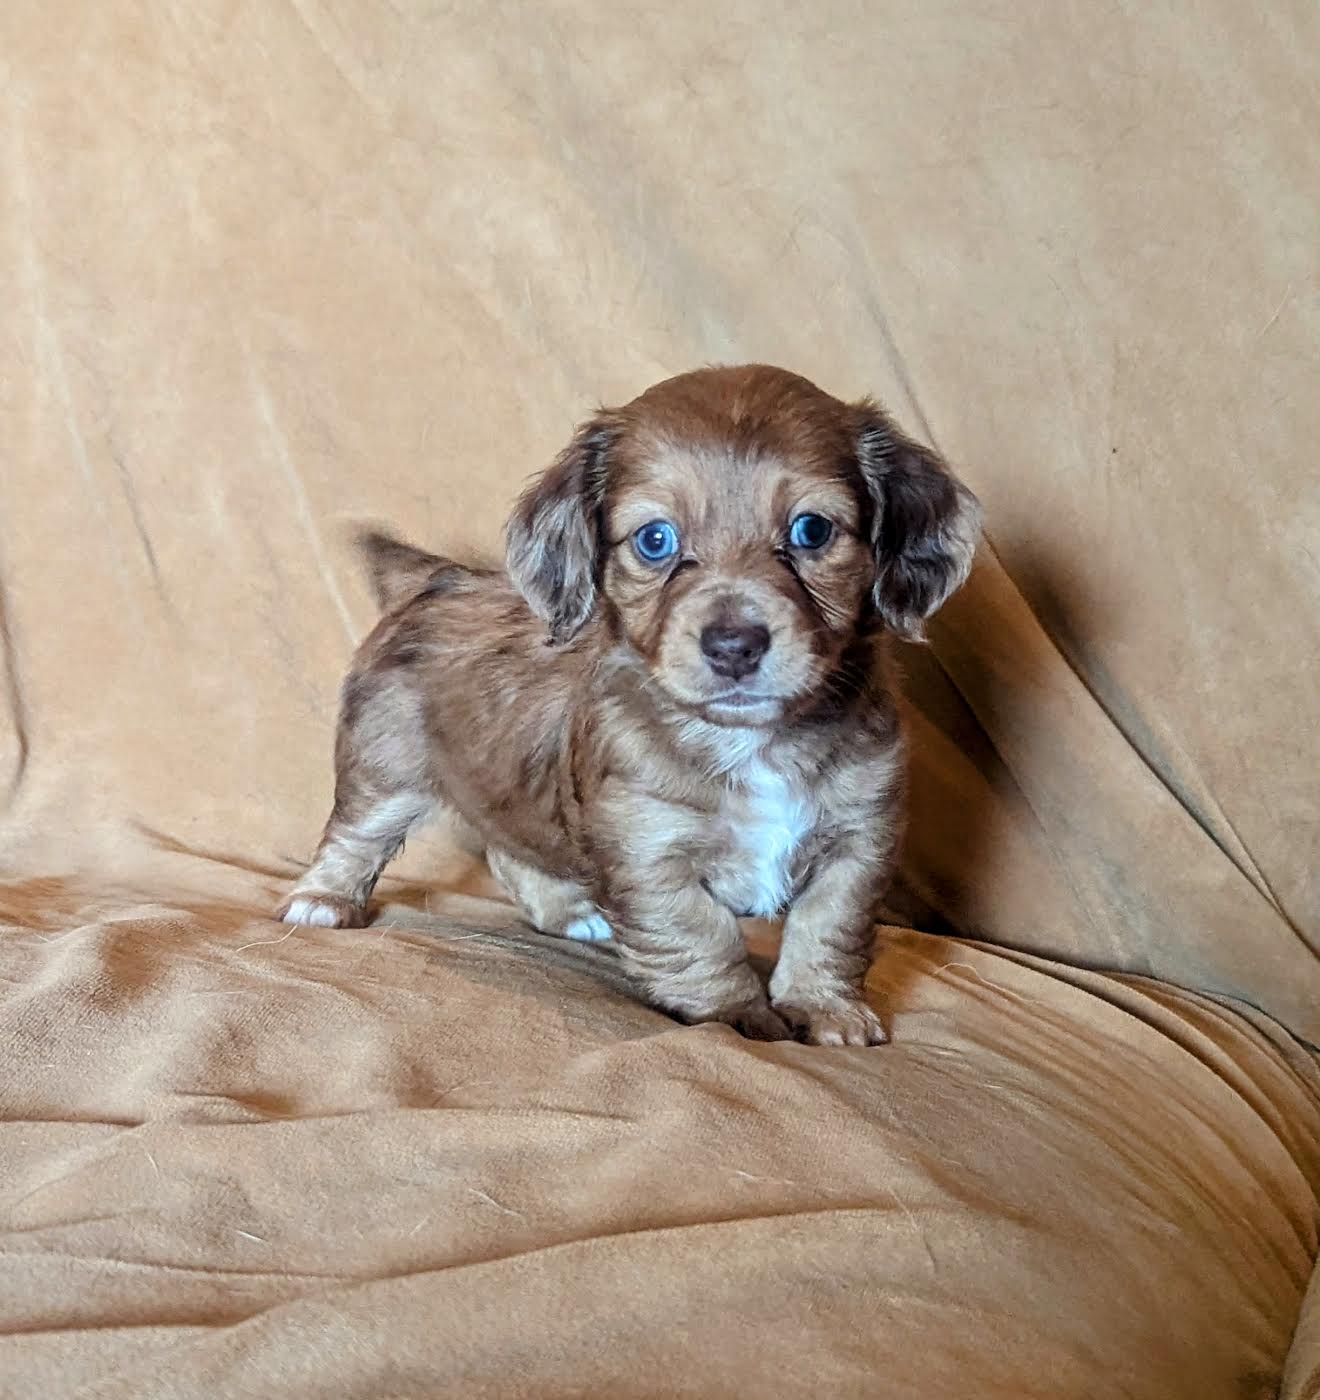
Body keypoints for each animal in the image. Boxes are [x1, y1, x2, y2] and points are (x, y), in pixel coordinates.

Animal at [278, 366, 979, 1047]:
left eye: (812, 530)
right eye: (655, 540)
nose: (734, 645)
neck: (750, 741)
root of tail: (442, 578)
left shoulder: (859, 841)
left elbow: (828, 928)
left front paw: (825, 1008)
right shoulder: (649, 852)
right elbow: (701, 937)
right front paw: (736, 1015)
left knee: (511, 850)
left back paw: (567, 913)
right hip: (384, 769)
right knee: (354, 836)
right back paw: (323, 901)